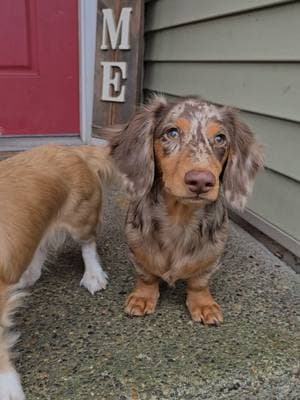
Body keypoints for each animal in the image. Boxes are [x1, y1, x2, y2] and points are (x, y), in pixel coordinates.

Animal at [104, 96, 264, 324]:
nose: (201, 181)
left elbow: (199, 281)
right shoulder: (137, 245)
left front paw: (203, 304)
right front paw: (142, 297)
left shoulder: (211, 254)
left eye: (220, 138)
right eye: (172, 133)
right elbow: (146, 275)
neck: (180, 217)